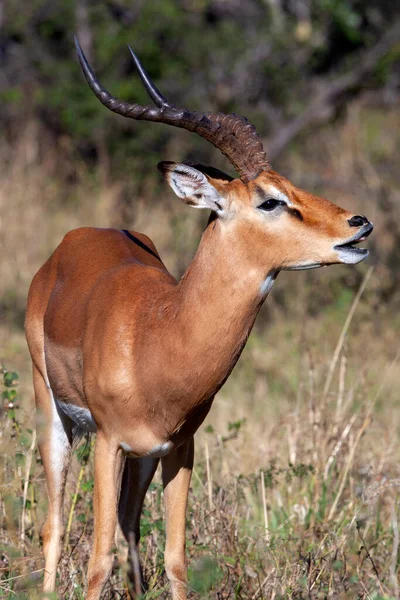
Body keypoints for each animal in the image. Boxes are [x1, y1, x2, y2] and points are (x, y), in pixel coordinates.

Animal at [25, 38, 372, 600]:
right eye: (270, 201)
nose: (358, 225)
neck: (158, 336)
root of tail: (75, 238)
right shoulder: (107, 442)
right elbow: (98, 560)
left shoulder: (179, 448)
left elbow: (175, 560)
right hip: (51, 413)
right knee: (54, 526)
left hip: (142, 457)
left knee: (130, 527)